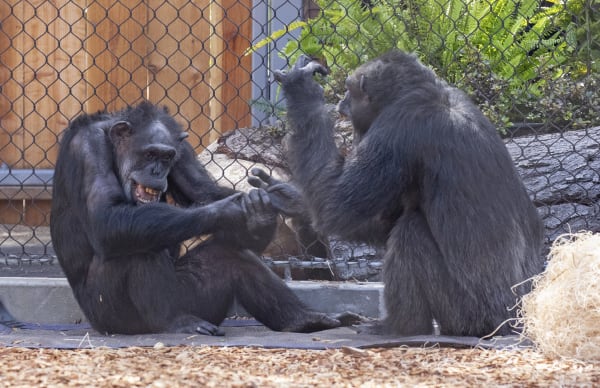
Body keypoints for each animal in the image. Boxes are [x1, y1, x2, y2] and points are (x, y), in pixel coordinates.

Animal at [50, 101, 356, 334]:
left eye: (166, 157)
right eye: (149, 153)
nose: (157, 171)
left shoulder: (182, 150)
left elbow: (202, 190)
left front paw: (269, 207)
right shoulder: (87, 148)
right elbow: (106, 216)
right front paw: (232, 208)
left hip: (200, 301)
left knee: (234, 255)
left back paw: (306, 319)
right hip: (111, 315)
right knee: (134, 243)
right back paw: (175, 321)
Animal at [255, 50, 548, 336]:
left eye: (350, 89)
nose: (342, 102)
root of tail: (516, 322)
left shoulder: (397, 130)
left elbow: (335, 206)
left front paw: (302, 89)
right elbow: (382, 220)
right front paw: (295, 202)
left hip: (469, 316)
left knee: (411, 232)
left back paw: (400, 326)